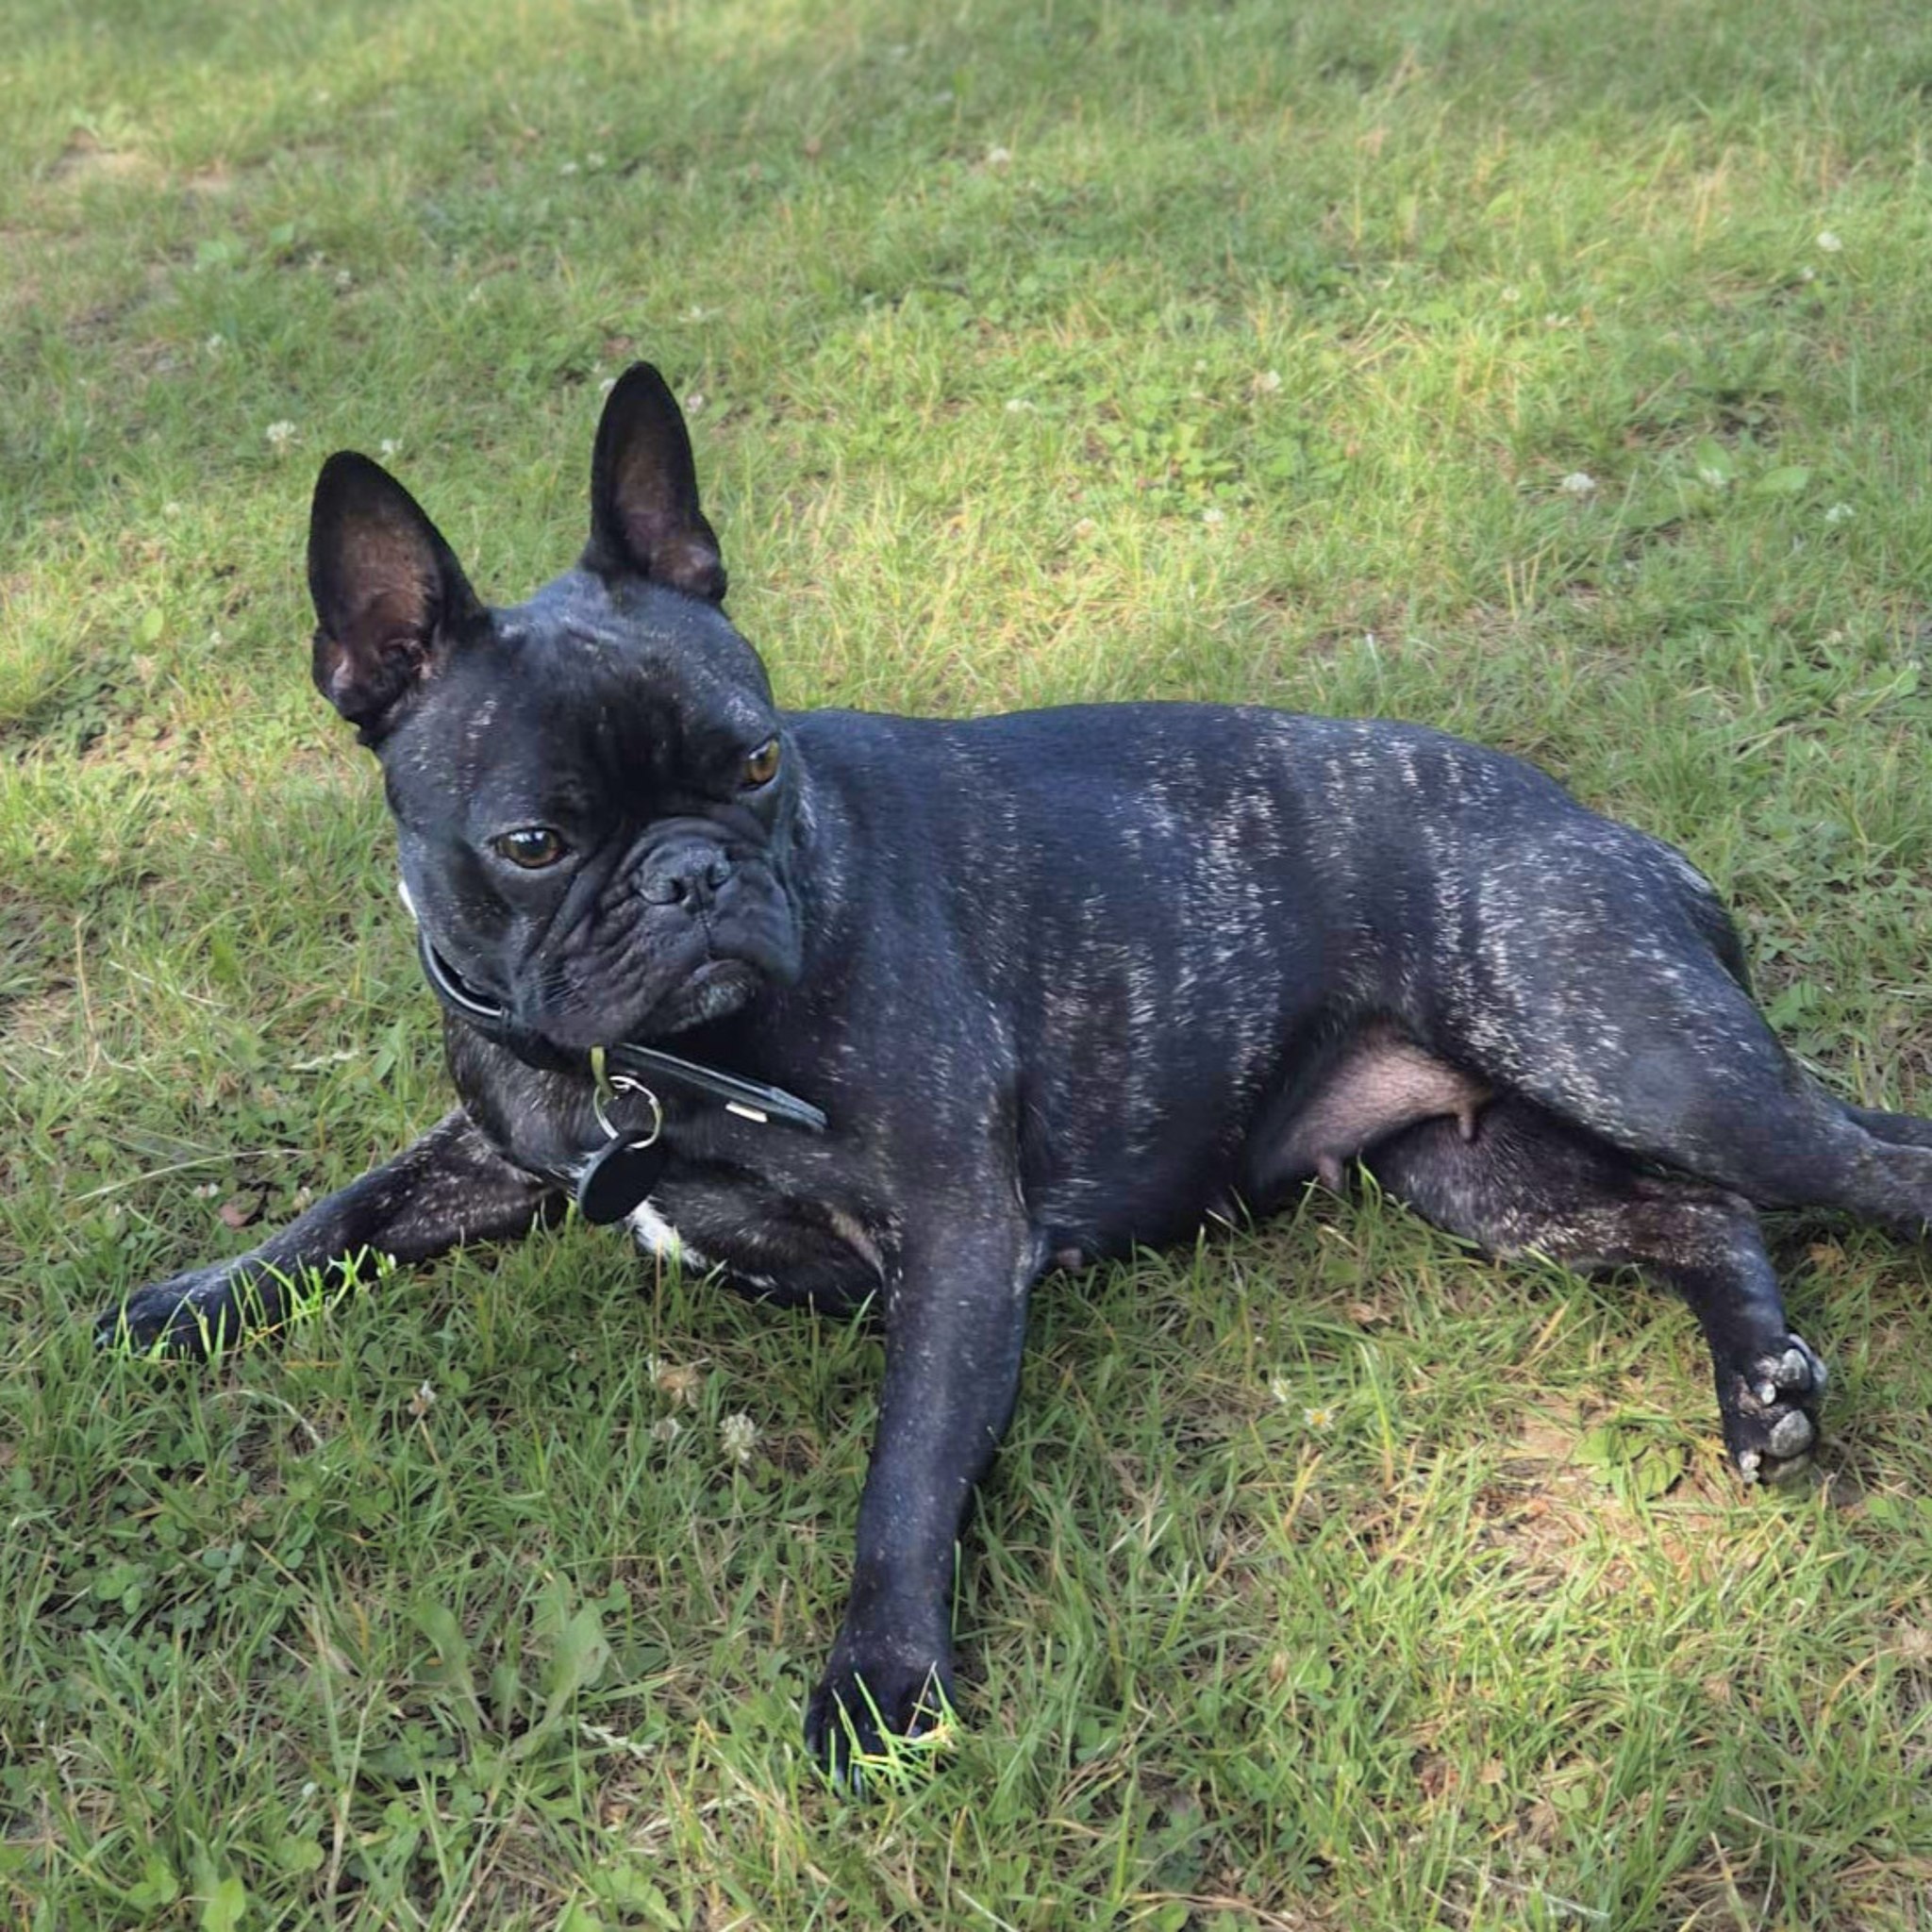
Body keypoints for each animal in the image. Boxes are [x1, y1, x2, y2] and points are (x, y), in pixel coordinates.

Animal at [103, 363, 1931, 1775]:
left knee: (1861, 1164)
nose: (692, 876)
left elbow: (905, 1478)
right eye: (535, 842)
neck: (654, 1063)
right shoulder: (501, 1137)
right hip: (1481, 1172)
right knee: (1697, 1216)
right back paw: (1759, 1387)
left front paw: (880, 1685)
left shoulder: (960, 1242)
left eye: (756, 764)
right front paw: (188, 1298)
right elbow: (345, 1210)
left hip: (1632, 1049)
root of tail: (1605, 827)